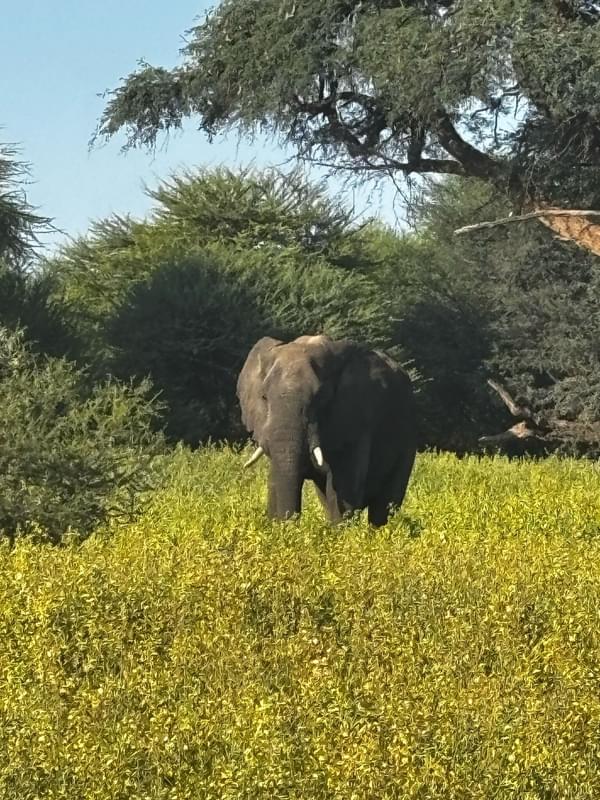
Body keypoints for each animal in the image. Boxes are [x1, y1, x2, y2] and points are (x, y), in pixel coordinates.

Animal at [237, 334, 417, 526]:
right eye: (264, 397)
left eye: (320, 398)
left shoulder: (356, 419)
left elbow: (344, 488)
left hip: (408, 435)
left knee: (384, 506)